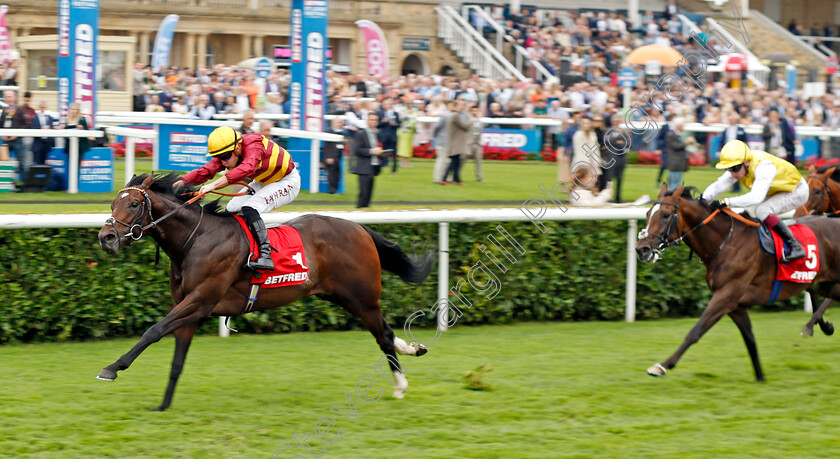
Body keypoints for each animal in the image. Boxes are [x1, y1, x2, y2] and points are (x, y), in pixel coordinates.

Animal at [98, 174, 434, 412]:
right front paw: (163, 405)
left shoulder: (200, 301)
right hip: (342, 297)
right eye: (113, 204)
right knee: (385, 331)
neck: (196, 240)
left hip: (361, 297)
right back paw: (412, 349)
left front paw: (111, 369)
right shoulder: (188, 307)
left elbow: (153, 331)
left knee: (383, 334)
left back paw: (400, 384)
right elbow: (177, 360)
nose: (106, 237)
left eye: (133, 204)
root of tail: (360, 229)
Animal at [632, 185, 840, 382]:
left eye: (666, 215)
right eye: (647, 213)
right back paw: (821, 326)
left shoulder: (725, 297)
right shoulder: (735, 305)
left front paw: (662, 366)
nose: (641, 249)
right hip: (822, 282)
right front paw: (760, 378)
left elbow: (695, 331)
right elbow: (750, 338)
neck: (726, 243)